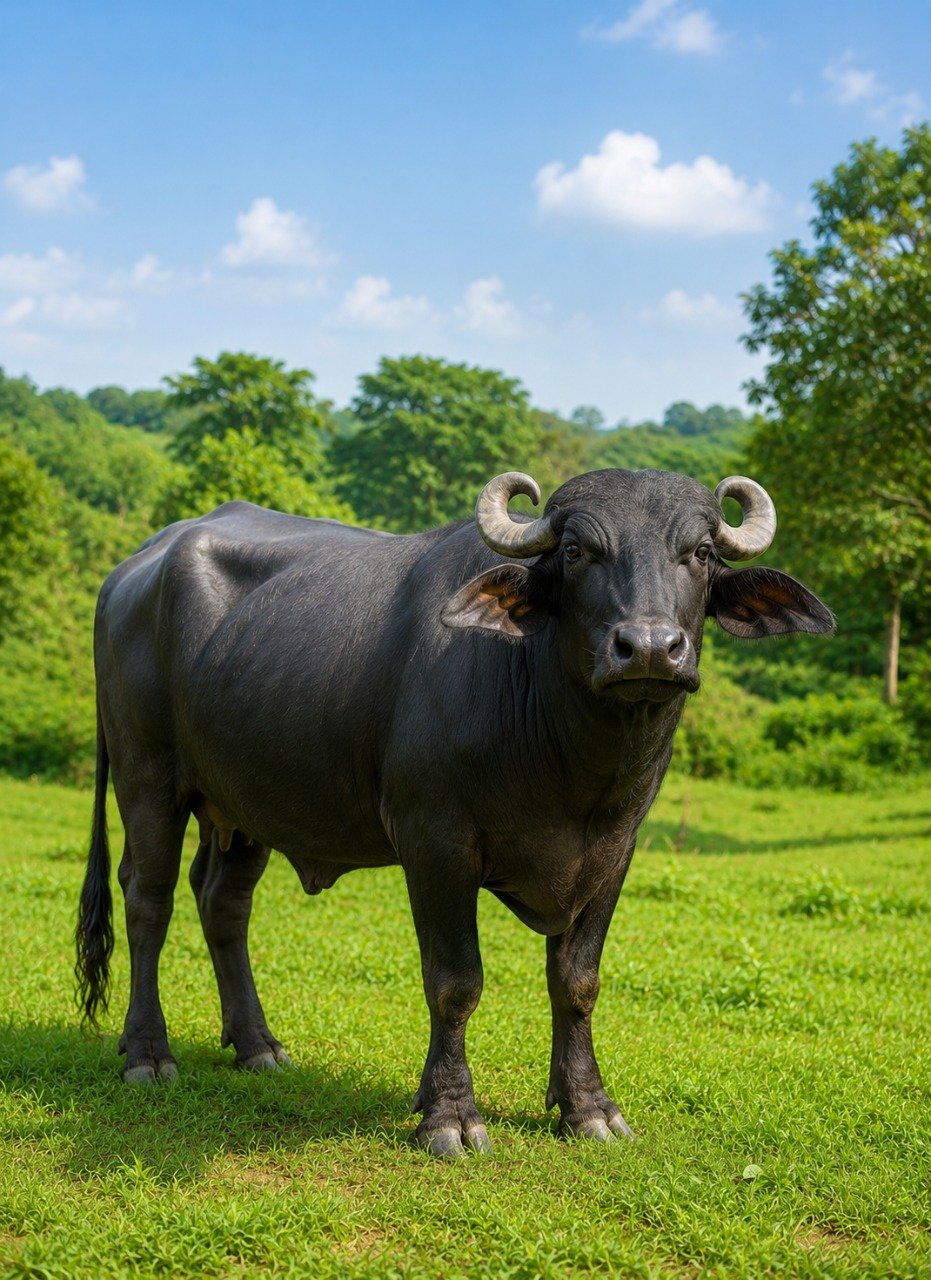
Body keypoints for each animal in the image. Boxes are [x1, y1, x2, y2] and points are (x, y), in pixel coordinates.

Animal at [76, 467, 832, 1156]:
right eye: (576, 551)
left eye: (699, 552)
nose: (647, 648)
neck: (566, 755)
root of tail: (132, 570)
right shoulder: (434, 841)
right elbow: (454, 981)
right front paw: (450, 1116)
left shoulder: (616, 848)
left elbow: (577, 981)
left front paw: (587, 1108)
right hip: (147, 777)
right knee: (148, 900)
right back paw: (148, 1054)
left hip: (245, 800)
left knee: (222, 902)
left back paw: (257, 1045)